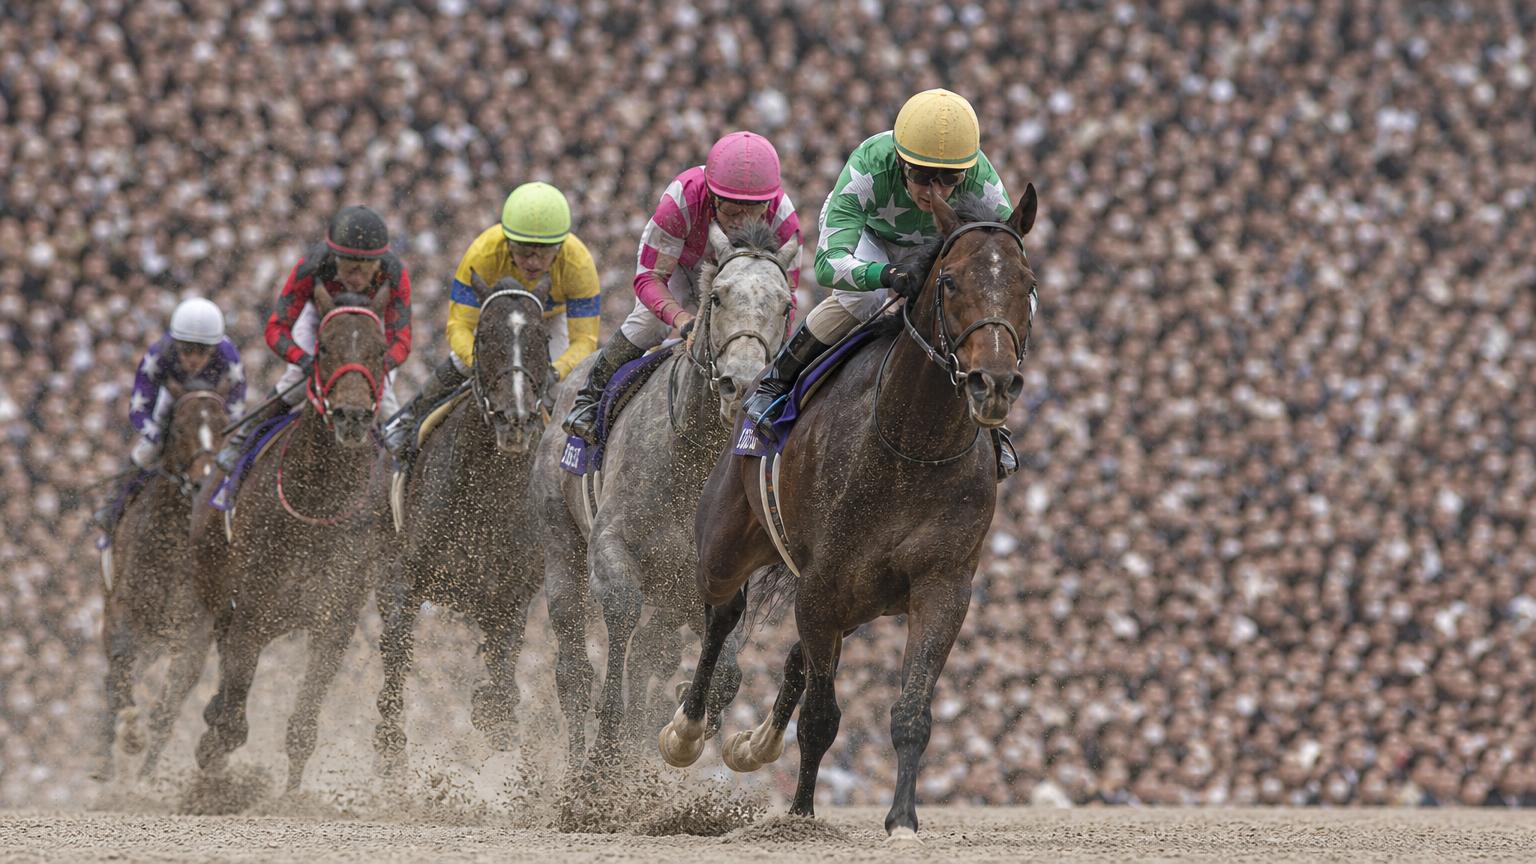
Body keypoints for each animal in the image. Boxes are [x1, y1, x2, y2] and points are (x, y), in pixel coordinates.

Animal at [97, 379, 231, 781]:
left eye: (224, 427)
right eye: (181, 428)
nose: (204, 481)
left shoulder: (194, 636)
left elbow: (166, 713)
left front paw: (145, 778)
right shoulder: (123, 618)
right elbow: (120, 690)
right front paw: (129, 737)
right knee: (113, 687)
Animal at [190, 285, 392, 792]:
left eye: (381, 351)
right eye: (323, 348)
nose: (352, 415)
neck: (318, 503)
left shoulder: (334, 620)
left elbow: (303, 726)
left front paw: (290, 796)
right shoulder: (252, 609)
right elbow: (232, 722)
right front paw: (212, 768)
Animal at [372, 272, 553, 767]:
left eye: (542, 338)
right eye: (484, 336)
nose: (514, 419)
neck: (487, 495)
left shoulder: (509, 598)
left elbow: (503, 677)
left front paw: (494, 717)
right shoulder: (405, 577)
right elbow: (397, 651)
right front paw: (390, 749)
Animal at [530, 219, 798, 773]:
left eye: (785, 305)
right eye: (717, 296)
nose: (741, 383)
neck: (690, 460)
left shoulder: (706, 579)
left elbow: (726, 671)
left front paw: (681, 722)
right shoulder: (611, 545)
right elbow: (621, 615)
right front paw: (607, 747)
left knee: (653, 651)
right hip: (560, 544)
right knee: (572, 667)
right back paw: (575, 762)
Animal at [659, 187, 1039, 839]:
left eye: (1028, 282)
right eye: (951, 282)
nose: (993, 383)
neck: (912, 444)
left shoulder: (942, 584)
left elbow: (911, 710)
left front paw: (903, 821)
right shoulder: (822, 581)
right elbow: (820, 715)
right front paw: (801, 814)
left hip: (859, 597)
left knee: (795, 657)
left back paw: (753, 744)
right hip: (727, 546)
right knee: (722, 617)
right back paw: (686, 731)